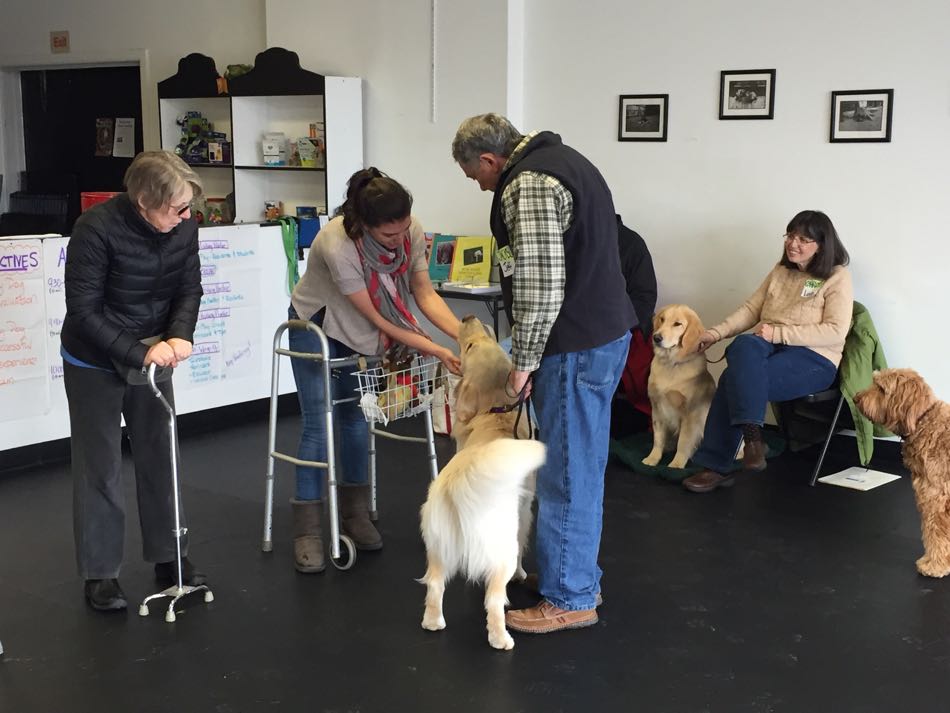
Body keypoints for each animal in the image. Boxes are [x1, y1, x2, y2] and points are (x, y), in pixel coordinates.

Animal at [422, 318, 548, 652]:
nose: (468, 317)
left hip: (437, 546)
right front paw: (522, 574)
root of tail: (461, 486)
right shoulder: (525, 513)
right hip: (500, 551)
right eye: (469, 346)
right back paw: (500, 638)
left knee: (434, 585)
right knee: (493, 601)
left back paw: (433, 622)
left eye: (484, 339)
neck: (496, 411)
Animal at [648, 304, 712, 468]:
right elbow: (658, 439)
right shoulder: (656, 407)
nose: (656, 338)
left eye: (677, 324)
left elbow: (684, 442)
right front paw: (652, 459)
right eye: (662, 319)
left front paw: (676, 464)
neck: (671, 364)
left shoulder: (690, 413)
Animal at [856, 370, 950, 576]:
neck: (923, 420)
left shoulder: (934, 496)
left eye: (881, 388)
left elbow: (935, 532)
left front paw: (934, 565)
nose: (856, 398)